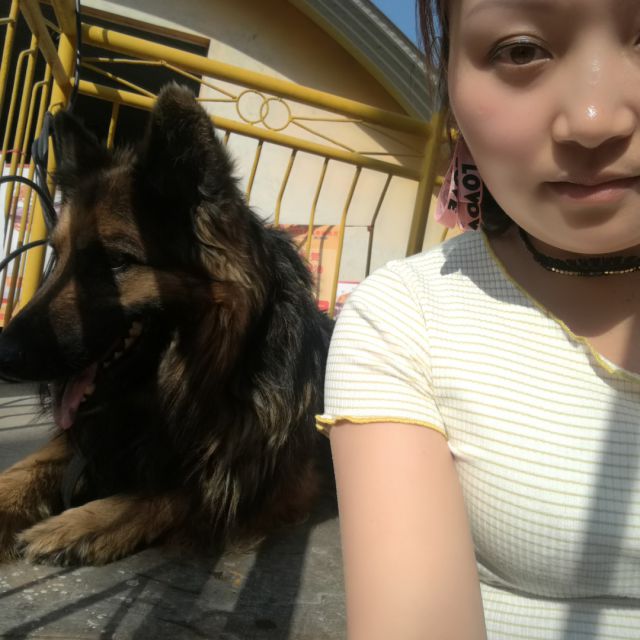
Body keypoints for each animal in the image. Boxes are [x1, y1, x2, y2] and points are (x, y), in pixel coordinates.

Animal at [0, 84, 334, 566]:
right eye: (57, 256)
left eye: (116, 261)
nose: (3, 354)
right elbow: (28, 466)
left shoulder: (274, 474)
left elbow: (195, 490)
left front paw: (78, 524)